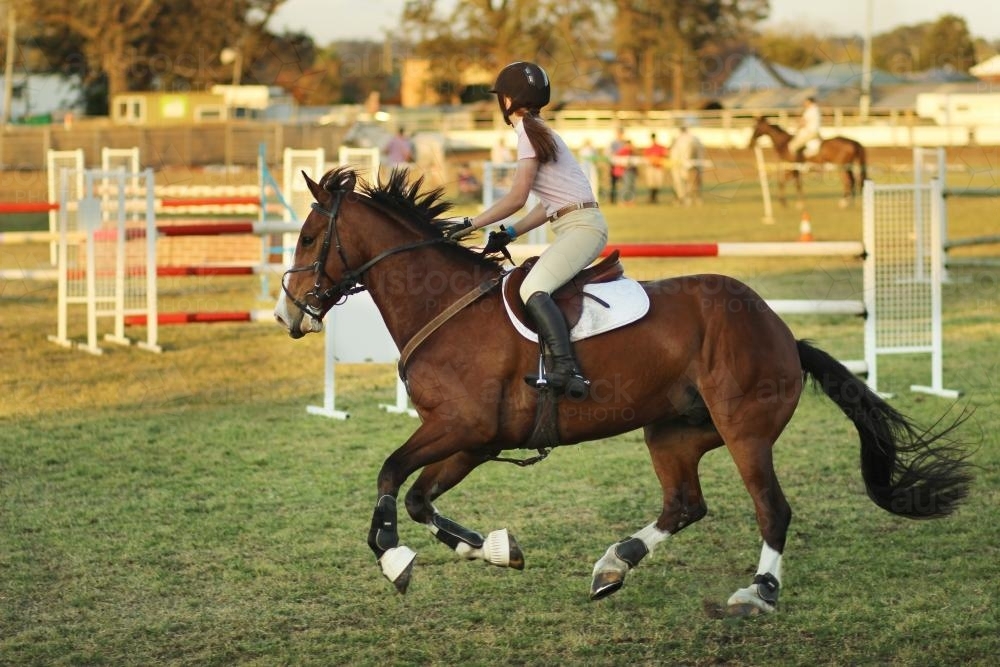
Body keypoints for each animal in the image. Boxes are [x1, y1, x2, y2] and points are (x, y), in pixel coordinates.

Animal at [274, 170, 968, 620]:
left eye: (308, 238)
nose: (288, 314)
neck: (444, 307)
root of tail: (782, 330)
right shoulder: (475, 440)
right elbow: (419, 497)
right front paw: (496, 550)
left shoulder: (463, 429)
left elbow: (390, 476)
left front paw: (394, 559)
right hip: (672, 431)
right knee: (684, 504)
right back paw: (615, 563)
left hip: (744, 430)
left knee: (772, 509)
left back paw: (757, 595)